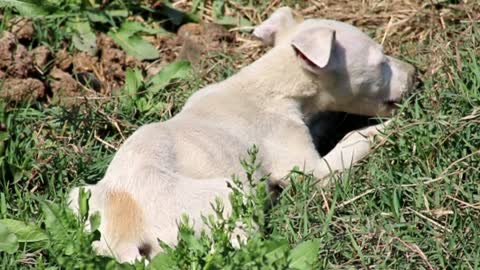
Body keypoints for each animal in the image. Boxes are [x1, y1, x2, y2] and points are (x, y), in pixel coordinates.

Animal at [68, 7, 416, 262]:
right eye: (381, 62)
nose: (417, 73)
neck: (269, 86)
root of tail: (122, 234)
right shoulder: (306, 167)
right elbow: (351, 144)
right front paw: (390, 129)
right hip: (230, 195)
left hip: (79, 197)